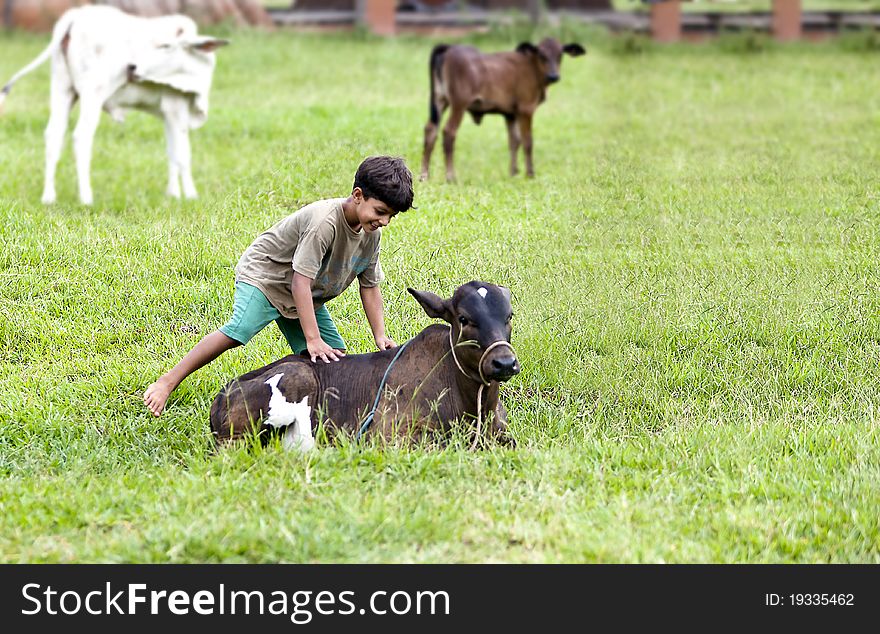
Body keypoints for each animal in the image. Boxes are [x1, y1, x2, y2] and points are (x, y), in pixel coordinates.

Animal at [0, 6, 227, 204]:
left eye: (165, 46)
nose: (132, 67)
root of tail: (75, 16)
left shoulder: (167, 114)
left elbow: (171, 152)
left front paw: (173, 194)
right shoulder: (175, 107)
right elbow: (183, 155)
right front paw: (190, 195)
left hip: (62, 89)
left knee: (54, 135)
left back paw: (49, 197)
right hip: (93, 93)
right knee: (81, 136)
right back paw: (86, 198)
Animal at [422, 37, 588, 181]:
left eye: (560, 54)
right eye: (542, 54)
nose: (554, 76)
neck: (532, 67)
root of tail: (449, 47)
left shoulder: (510, 115)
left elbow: (514, 141)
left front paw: (513, 172)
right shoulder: (526, 109)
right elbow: (527, 141)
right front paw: (530, 173)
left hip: (440, 100)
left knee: (430, 130)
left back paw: (424, 176)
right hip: (459, 104)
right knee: (449, 132)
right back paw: (450, 176)